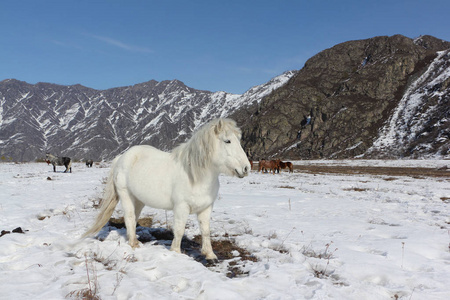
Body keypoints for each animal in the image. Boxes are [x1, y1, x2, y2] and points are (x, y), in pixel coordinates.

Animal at [83, 118, 251, 262]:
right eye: (227, 141)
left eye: (239, 140)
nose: (246, 168)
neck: (195, 175)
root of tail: (122, 157)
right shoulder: (181, 207)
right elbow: (179, 230)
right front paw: (175, 252)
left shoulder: (206, 208)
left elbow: (205, 231)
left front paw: (210, 255)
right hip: (126, 196)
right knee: (129, 218)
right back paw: (134, 244)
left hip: (139, 200)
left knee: (134, 219)